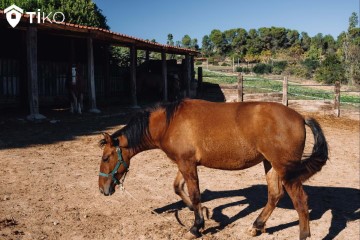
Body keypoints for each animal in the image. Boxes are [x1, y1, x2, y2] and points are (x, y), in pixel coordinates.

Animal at [97, 98, 328, 239]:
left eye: (106, 157)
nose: (103, 189)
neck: (169, 123)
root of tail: (300, 118)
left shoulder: (187, 164)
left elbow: (195, 194)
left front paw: (196, 226)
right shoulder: (184, 163)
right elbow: (178, 188)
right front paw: (203, 213)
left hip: (286, 171)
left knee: (300, 202)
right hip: (270, 165)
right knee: (274, 195)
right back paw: (256, 226)